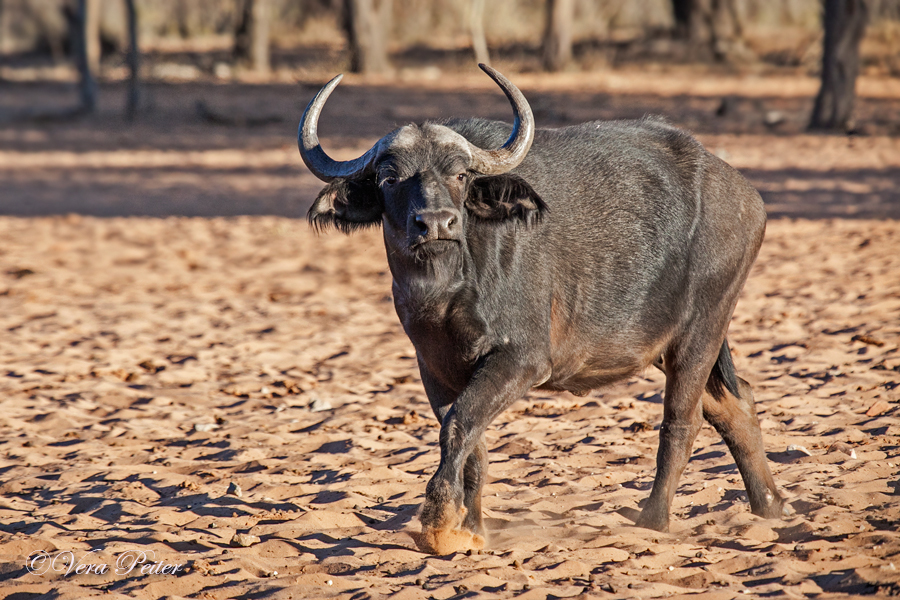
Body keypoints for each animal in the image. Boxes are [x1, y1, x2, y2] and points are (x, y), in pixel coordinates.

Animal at [298, 64, 784, 552]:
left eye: (460, 175)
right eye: (389, 178)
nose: (435, 223)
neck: (447, 286)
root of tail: (745, 195)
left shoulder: (523, 360)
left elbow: (459, 425)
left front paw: (441, 522)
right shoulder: (434, 370)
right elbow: (472, 444)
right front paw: (472, 528)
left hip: (702, 328)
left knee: (682, 421)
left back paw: (654, 519)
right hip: (673, 345)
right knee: (734, 405)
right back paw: (771, 506)